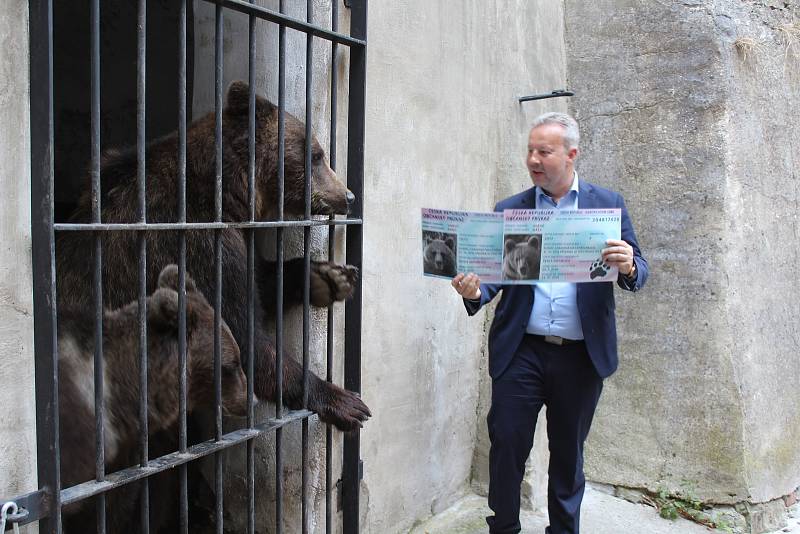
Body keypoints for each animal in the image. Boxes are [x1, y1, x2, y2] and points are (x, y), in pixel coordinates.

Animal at [55, 80, 368, 432]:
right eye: (316, 155)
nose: (349, 196)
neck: (230, 193)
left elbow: (260, 281)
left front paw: (328, 277)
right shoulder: (197, 245)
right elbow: (240, 333)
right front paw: (344, 401)